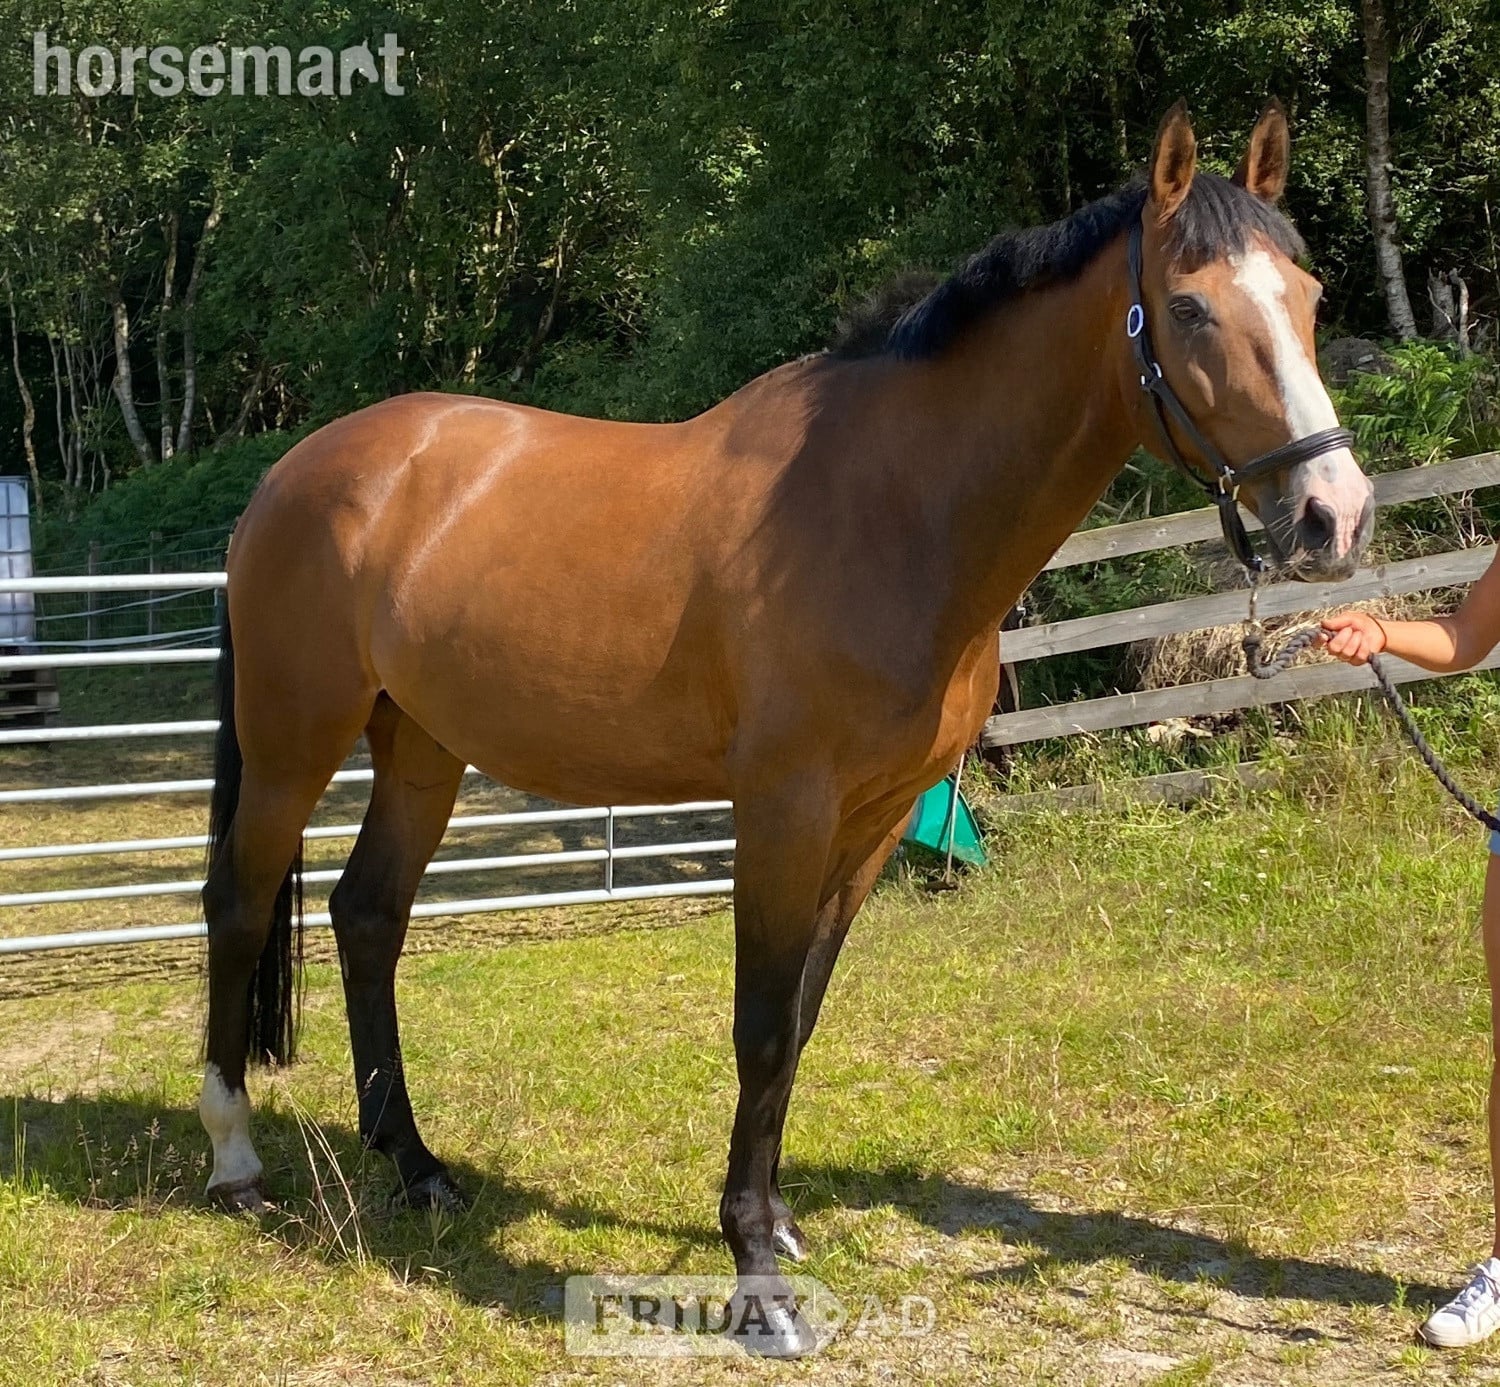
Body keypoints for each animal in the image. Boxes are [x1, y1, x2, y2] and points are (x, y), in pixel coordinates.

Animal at [197, 101, 1373, 1356]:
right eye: (1191, 307)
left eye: (1309, 297)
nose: (1333, 514)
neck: (887, 511)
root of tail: (294, 473)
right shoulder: (782, 808)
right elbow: (759, 1026)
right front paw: (757, 1282)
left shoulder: (874, 819)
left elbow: (801, 1018)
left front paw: (775, 1223)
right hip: (292, 744)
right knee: (239, 905)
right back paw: (235, 1158)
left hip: (422, 746)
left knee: (368, 916)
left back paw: (416, 1168)